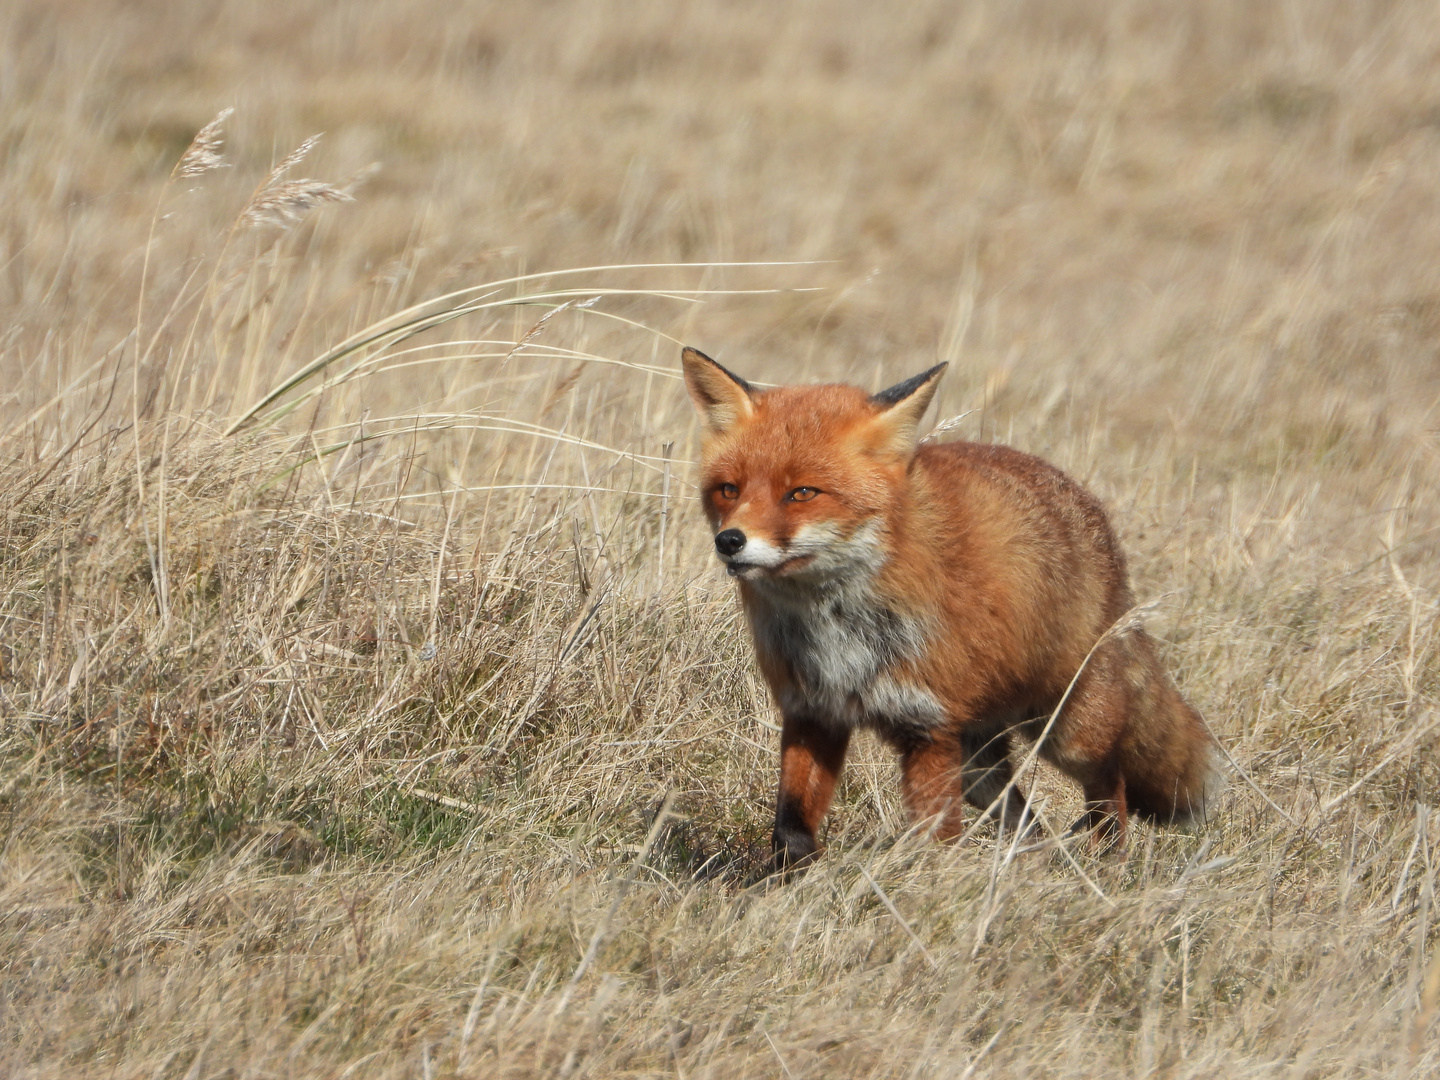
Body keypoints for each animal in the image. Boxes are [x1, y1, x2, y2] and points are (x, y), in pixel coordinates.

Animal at [679, 347, 1221, 869]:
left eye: (802, 493)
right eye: (729, 489)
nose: (730, 541)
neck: (838, 629)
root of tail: (1094, 516)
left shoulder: (930, 729)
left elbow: (936, 838)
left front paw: (929, 887)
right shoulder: (812, 714)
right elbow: (791, 829)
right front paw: (788, 886)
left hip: (1068, 732)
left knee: (1111, 785)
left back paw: (1109, 864)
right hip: (979, 761)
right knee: (1026, 820)